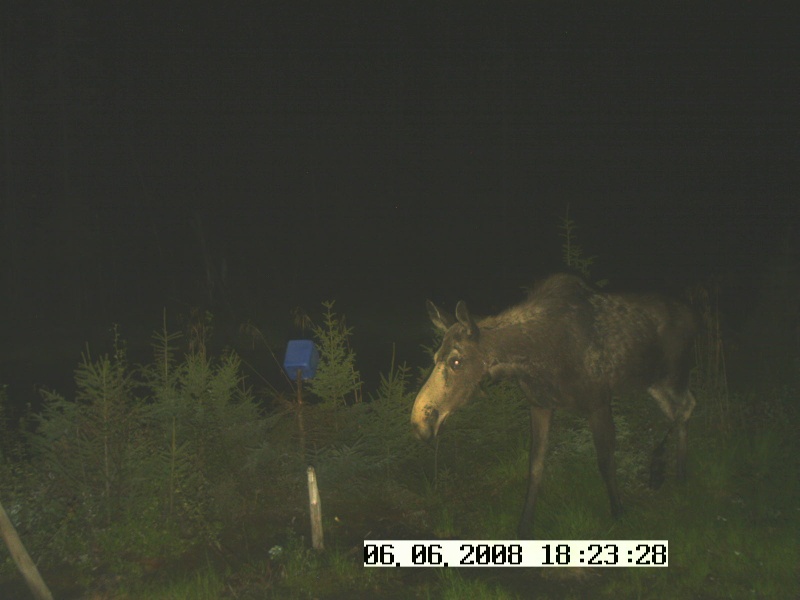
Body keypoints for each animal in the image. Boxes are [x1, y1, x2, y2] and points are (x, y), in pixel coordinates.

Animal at [410, 274, 696, 536]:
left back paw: (671, 472)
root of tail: (692, 314)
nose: (420, 420)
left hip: (673, 375)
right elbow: (535, 466)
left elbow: (605, 461)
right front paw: (524, 525)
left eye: (456, 361)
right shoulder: (539, 405)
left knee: (686, 407)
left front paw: (618, 511)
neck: (533, 359)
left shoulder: (598, 403)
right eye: (435, 358)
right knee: (680, 410)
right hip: (652, 383)